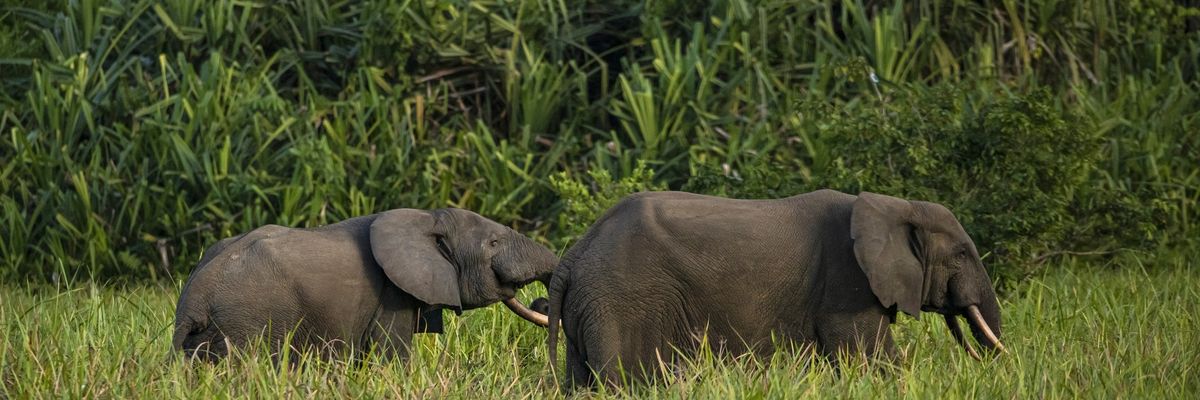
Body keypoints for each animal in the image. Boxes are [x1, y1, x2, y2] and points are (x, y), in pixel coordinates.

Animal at [173, 207, 555, 362]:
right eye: (493, 243)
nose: (541, 302)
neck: (427, 217)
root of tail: (192, 303)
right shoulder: (391, 295)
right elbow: (392, 356)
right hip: (246, 324)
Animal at [546, 190, 1005, 387]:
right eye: (962, 254)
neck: (894, 205)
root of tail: (573, 257)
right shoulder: (846, 284)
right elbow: (871, 358)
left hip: (590, 306)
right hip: (620, 302)